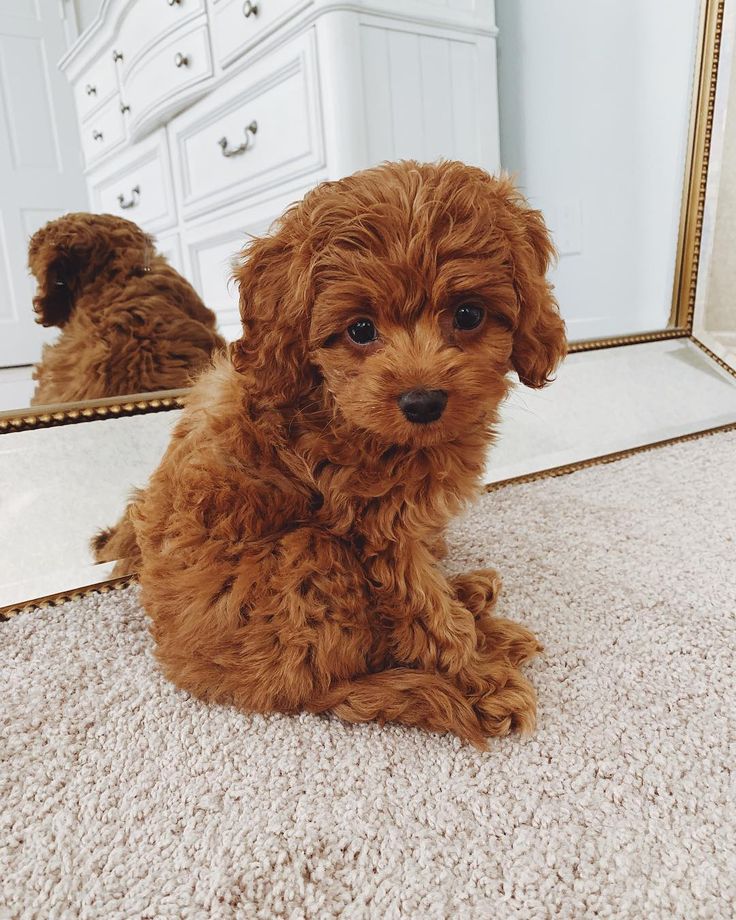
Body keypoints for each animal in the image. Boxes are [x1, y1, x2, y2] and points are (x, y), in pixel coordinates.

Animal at [129, 160, 568, 748]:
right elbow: (430, 616)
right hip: (311, 557)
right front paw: (480, 680)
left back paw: (470, 597)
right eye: (360, 329)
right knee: (331, 678)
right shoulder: (378, 529)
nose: (423, 402)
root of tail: (190, 670)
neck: (332, 404)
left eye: (469, 314)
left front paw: (465, 621)